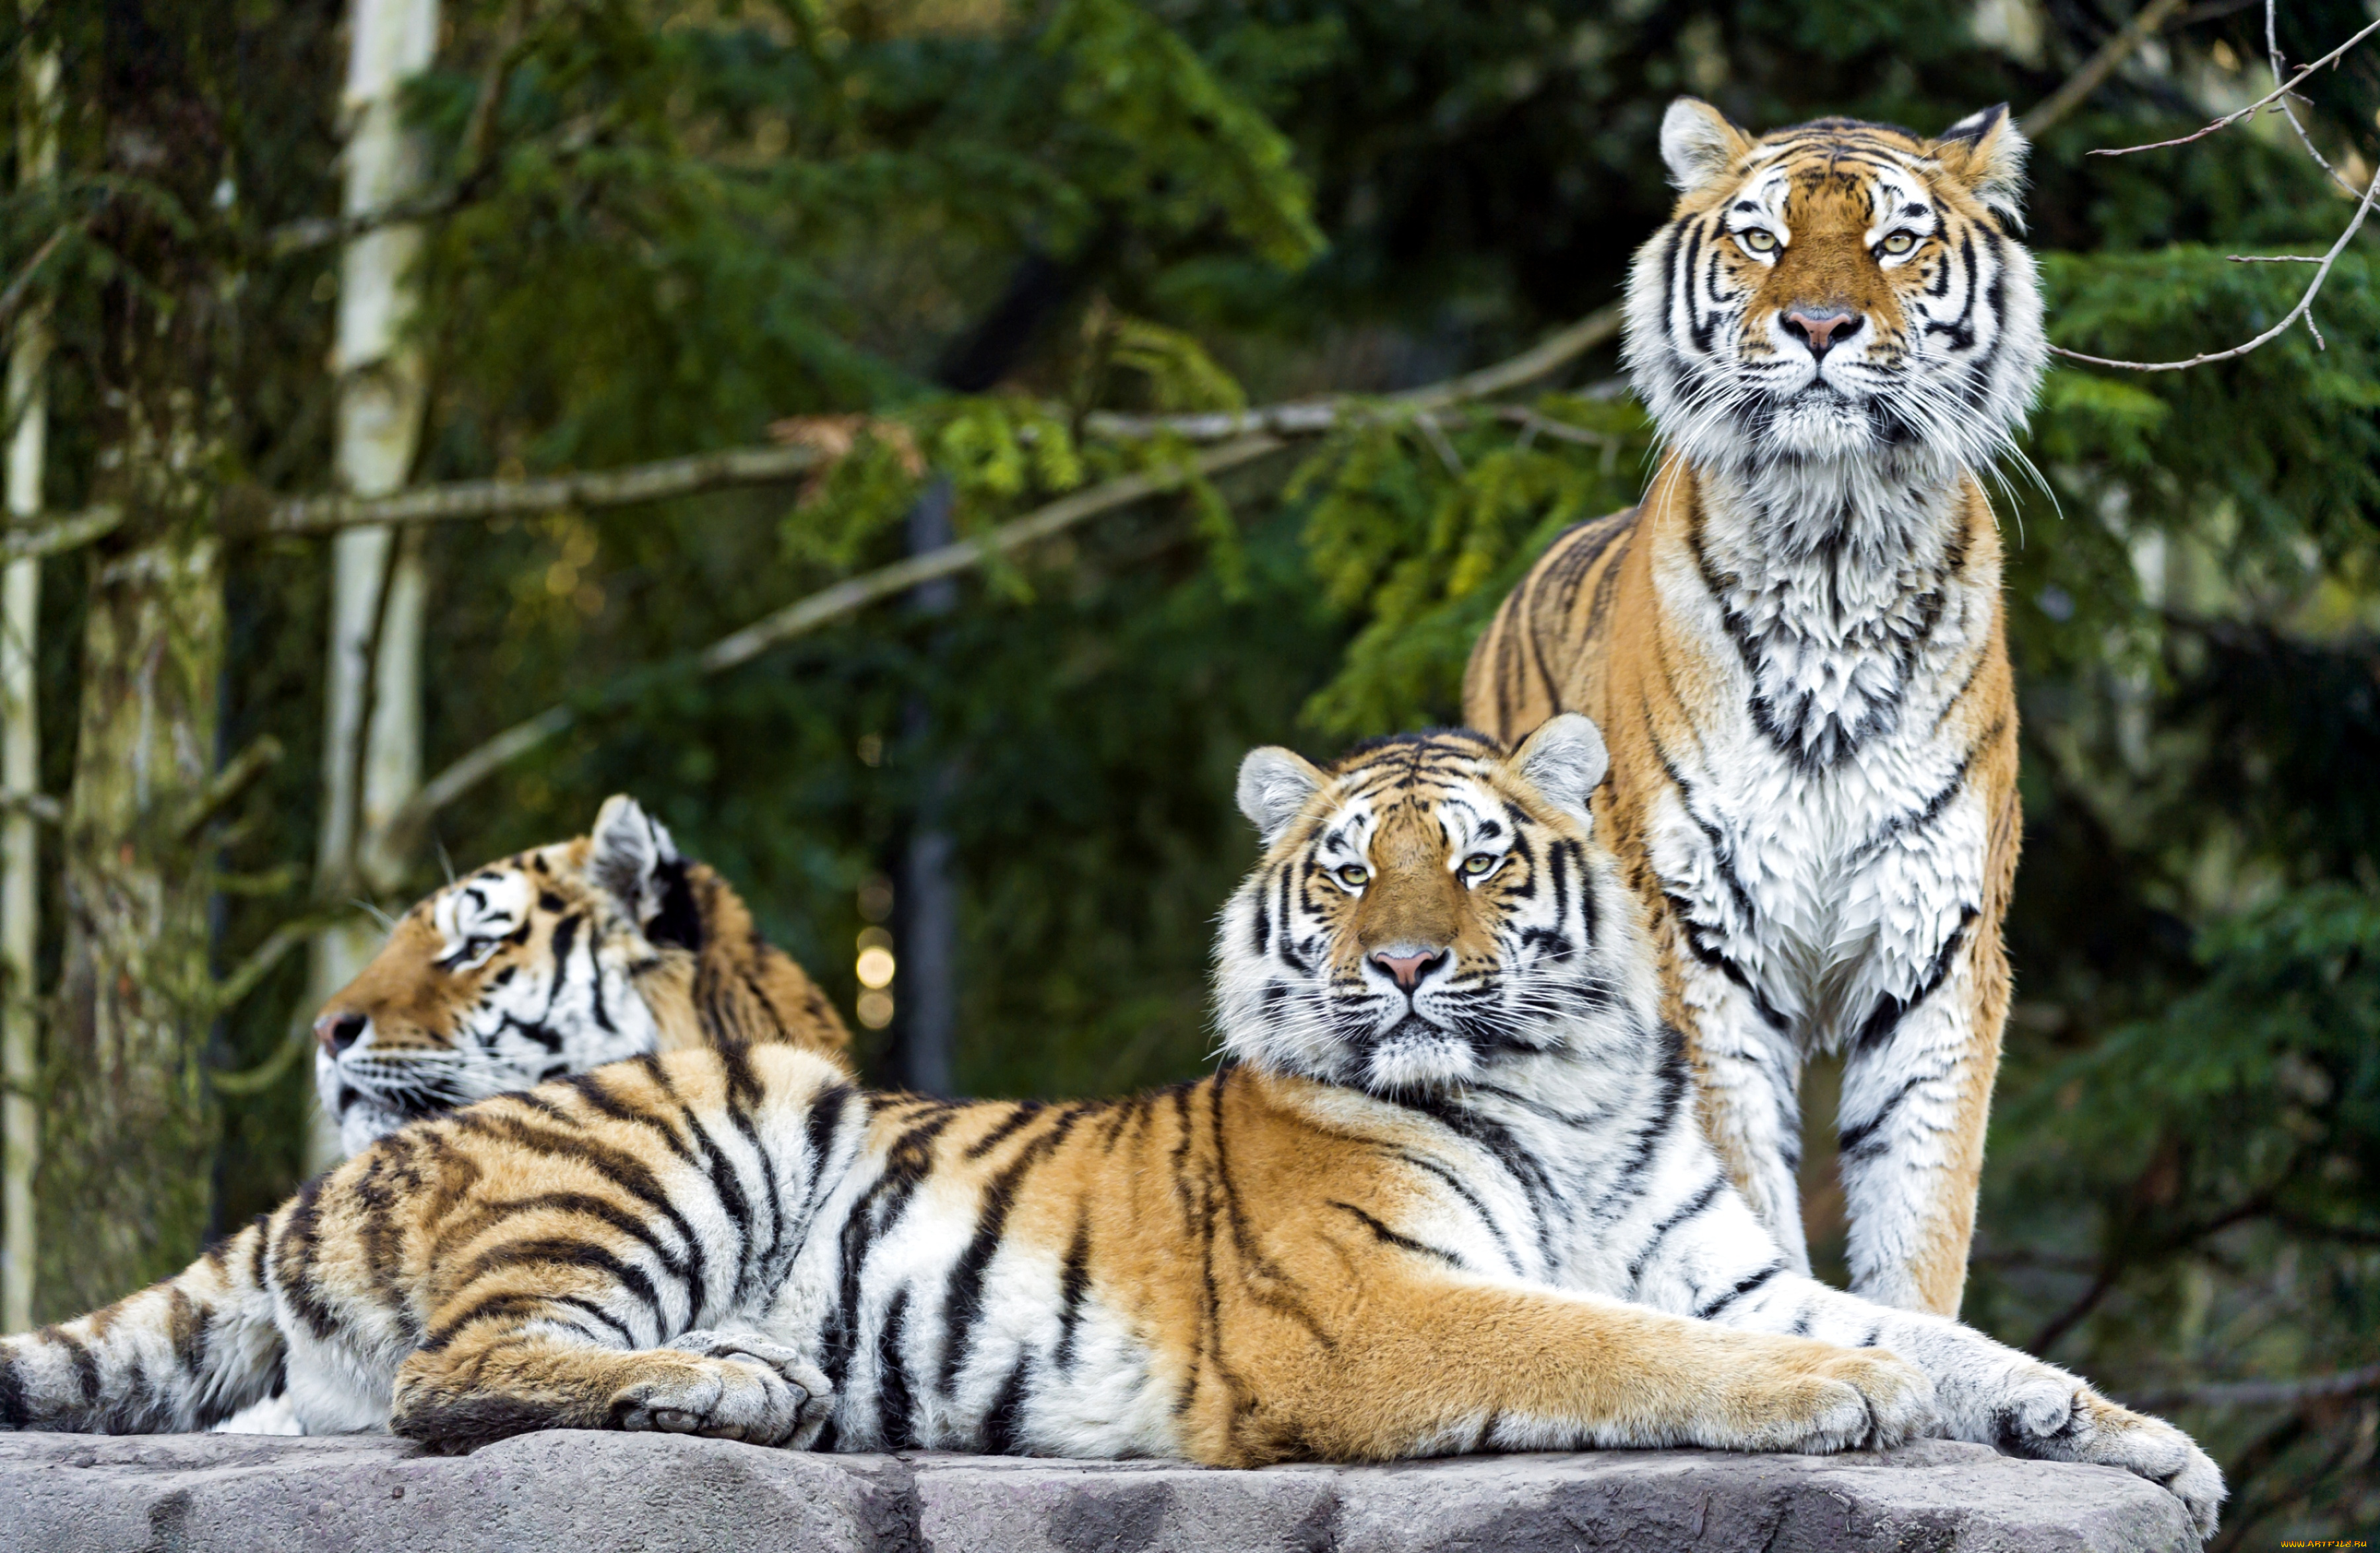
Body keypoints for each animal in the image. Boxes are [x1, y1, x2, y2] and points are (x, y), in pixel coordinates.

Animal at [0, 724, 2218, 1543]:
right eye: (1348, 873)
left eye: (1481, 858)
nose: (1406, 965)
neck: (1571, 1090)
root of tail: (334, 1166)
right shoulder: (1382, 1313)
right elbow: (1625, 1346)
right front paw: (1834, 1407)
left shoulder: (1742, 1254)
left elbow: (1951, 1331)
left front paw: (2138, 1440)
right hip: (695, 1140)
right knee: (455, 1379)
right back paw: (749, 1385)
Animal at [1466, 97, 2047, 1314]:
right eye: (1761, 238)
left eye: (1895, 241)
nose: (1819, 326)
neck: (1833, 550)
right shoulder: (1696, 944)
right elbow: (1732, 1192)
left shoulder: (1938, 946)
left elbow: (1921, 1213)